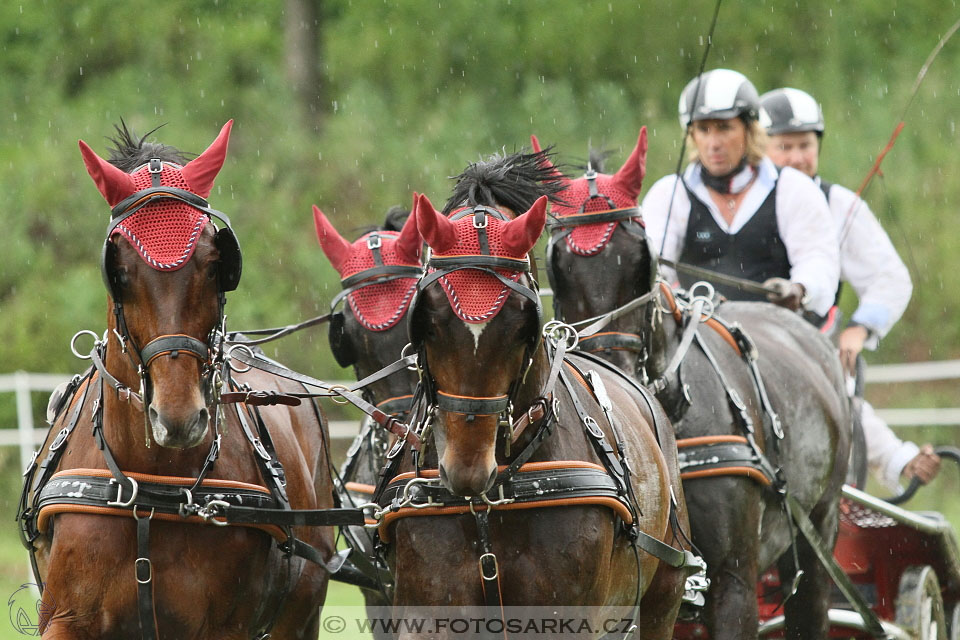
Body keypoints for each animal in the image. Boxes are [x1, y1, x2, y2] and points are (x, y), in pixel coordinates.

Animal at [16, 121, 340, 640]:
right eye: (119, 270)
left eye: (214, 263)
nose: (179, 417)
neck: (151, 485)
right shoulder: (66, 618)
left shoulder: (223, 627)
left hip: (300, 612)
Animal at [372, 148, 700, 636]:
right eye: (427, 320)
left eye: (522, 322)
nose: (467, 470)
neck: (487, 503)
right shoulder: (430, 609)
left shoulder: (564, 614)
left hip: (663, 597)